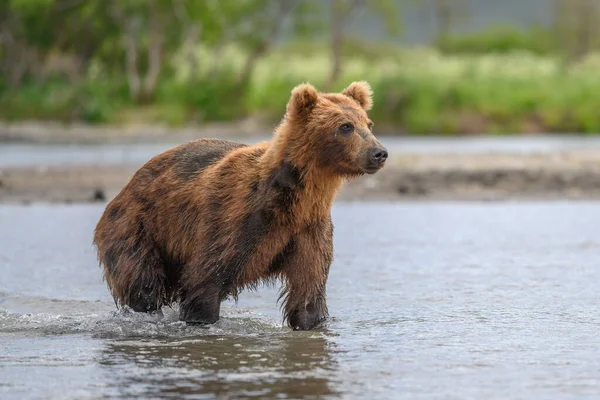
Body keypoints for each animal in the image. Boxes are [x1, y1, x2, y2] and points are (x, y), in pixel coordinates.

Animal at [91, 81, 386, 332]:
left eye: (368, 123)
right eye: (345, 126)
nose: (379, 152)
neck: (294, 200)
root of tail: (123, 190)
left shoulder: (309, 228)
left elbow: (308, 290)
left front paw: (309, 322)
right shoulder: (236, 219)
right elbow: (206, 279)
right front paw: (202, 319)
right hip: (139, 228)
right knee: (144, 286)